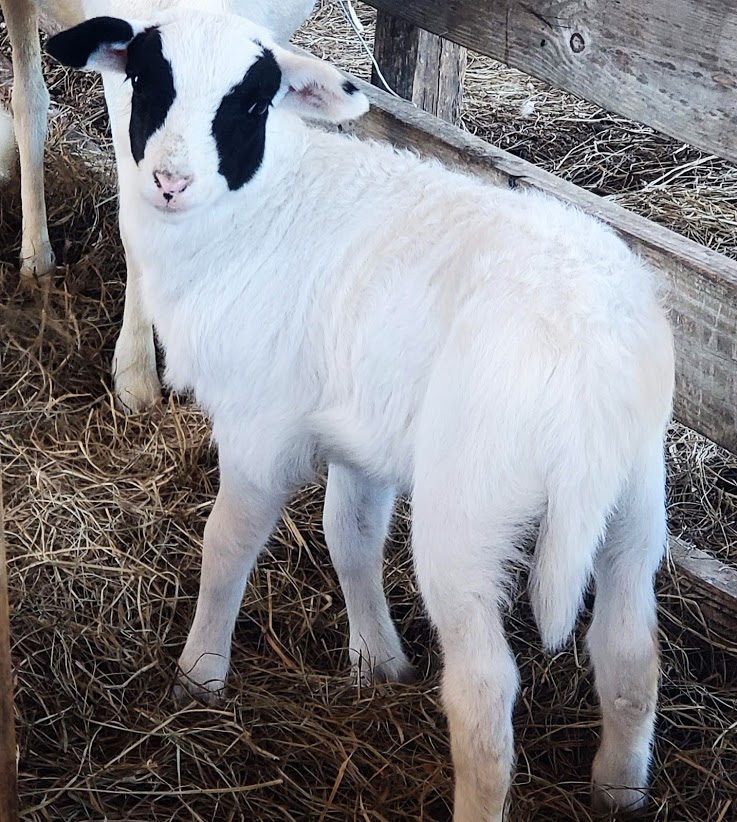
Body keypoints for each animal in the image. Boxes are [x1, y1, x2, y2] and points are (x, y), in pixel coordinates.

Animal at [47, 10, 675, 822]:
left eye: (249, 104)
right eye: (146, 80)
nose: (169, 181)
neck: (260, 204)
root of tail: (589, 352)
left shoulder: (259, 424)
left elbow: (226, 547)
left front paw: (199, 675)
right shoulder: (358, 434)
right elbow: (349, 540)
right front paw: (379, 663)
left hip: (467, 510)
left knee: (484, 694)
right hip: (633, 497)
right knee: (628, 654)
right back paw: (619, 790)